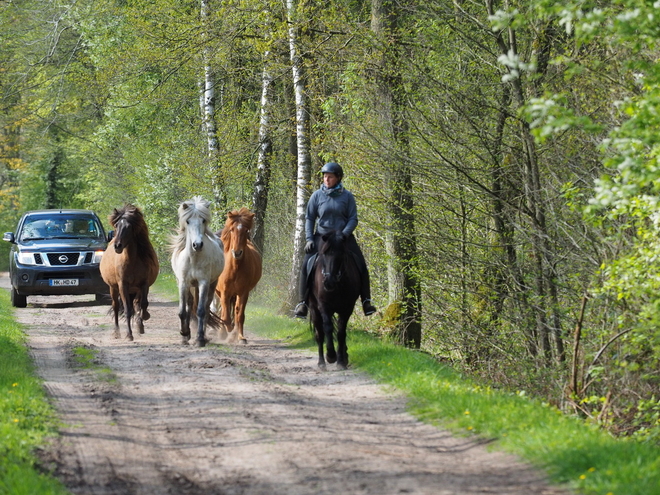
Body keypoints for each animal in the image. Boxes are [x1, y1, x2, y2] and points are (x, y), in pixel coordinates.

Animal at [99, 205, 159, 340]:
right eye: (116, 225)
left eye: (129, 227)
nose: (117, 246)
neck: (132, 261)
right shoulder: (123, 285)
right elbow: (127, 309)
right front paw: (129, 335)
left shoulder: (144, 284)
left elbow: (143, 304)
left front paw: (144, 318)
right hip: (113, 288)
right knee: (116, 306)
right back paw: (117, 332)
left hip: (136, 290)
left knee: (137, 304)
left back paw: (139, 325)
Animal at [170, 196, 224, 346]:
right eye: (188, 221)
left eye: (203, 220)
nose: (197, 245)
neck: (194, 258)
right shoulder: (183, 283)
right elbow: (182, 311)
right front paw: (184, 334)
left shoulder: (203, 283)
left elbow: (201, 310)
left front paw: (200, 338)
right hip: (190, 285)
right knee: (189, 305)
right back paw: (187, 335)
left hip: (211, 285)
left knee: (205, 308)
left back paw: (202, 335)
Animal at [214, 207, 260, 342]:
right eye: (232, 229)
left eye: (246, 230)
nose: (237, 252)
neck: (235, 268)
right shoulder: (225, 293)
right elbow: (225, 316)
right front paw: (226, 331)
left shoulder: (243, 293)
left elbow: (239, 315)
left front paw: (239, 336)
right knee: (222, 311)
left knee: (235, 311)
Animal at [310, 231, 360, 370]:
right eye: (324, 254)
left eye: (341, 255)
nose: (328, 282)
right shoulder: (324, 306)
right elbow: (328, 328)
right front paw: (331, 356)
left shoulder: (347, 308)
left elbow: (341, 332)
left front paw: (341, 361)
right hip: (314, 309)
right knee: (319, 334)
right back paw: (321, 362)